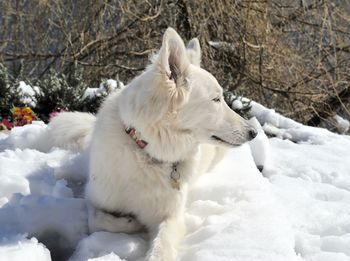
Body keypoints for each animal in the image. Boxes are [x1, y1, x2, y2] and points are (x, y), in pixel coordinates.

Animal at [48, 27, 258, 258]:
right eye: (216, 99)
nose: (254, 132)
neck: (146, 153)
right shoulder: (95, 199)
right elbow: (96, 220)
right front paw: (132, 222)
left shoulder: (171, 217)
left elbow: (161, 249)